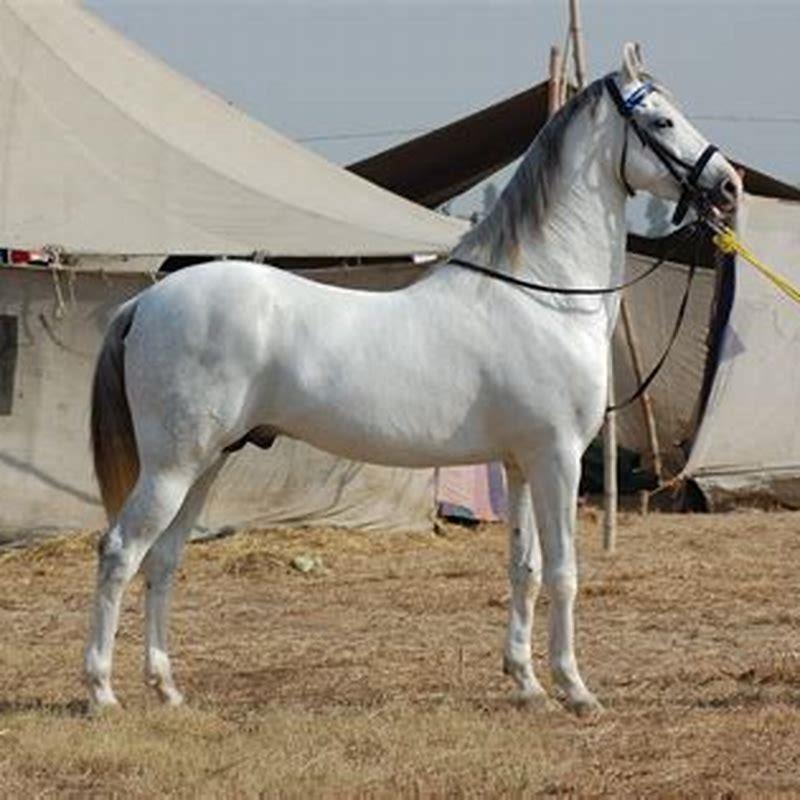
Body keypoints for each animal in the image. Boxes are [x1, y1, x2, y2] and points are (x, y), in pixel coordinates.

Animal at [84, 44, 740, 714]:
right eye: (662, 121)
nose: (728, 186)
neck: (547, 295)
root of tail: (147, 301)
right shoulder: (557, 458)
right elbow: (563, 573)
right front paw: (574, 689)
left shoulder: (520, 463)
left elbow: (524, 569)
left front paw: (526, 682)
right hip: (172, 466)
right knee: (120, 552)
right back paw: (102, 692)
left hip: (206, 464)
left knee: (164, 560)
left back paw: (167, 688)